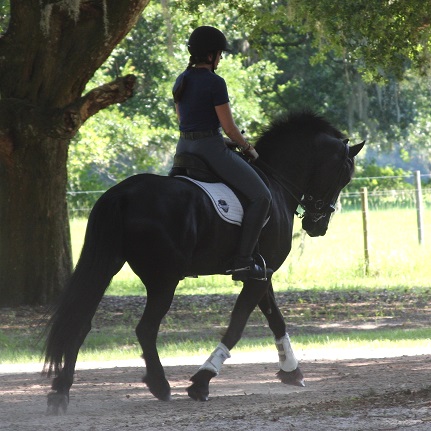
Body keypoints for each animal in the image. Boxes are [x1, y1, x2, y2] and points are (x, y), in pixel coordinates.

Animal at [44, 111, 364, 416]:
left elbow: (276, 318)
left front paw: (291, 370)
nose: (317, 225)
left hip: (109, 265)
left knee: (81, 323)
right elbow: (237, 325)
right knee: (145, 329)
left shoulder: (262, 273)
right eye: (343, 176)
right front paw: (202, 381)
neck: (275, 181)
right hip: (164, 279)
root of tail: (123, 194)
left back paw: (61, 392)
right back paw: (159, 385)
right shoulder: (258, 275)